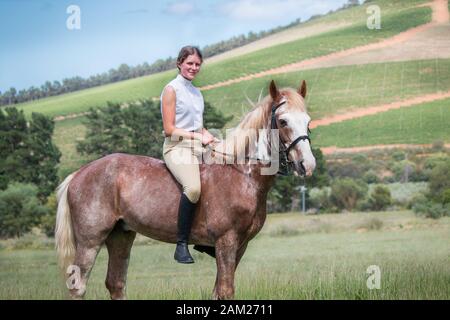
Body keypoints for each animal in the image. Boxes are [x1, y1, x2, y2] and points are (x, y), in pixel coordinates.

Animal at [56, 80, 316, 300]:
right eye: (282, 121)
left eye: (307, 121)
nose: (308, 165)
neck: (244, 175)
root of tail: (78, 174)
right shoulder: (226, 241)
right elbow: (226, 290)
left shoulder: (240, 245)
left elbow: (218, 291)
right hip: (90, 241)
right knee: (78, 285)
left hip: (121, 236)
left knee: (116, 283)